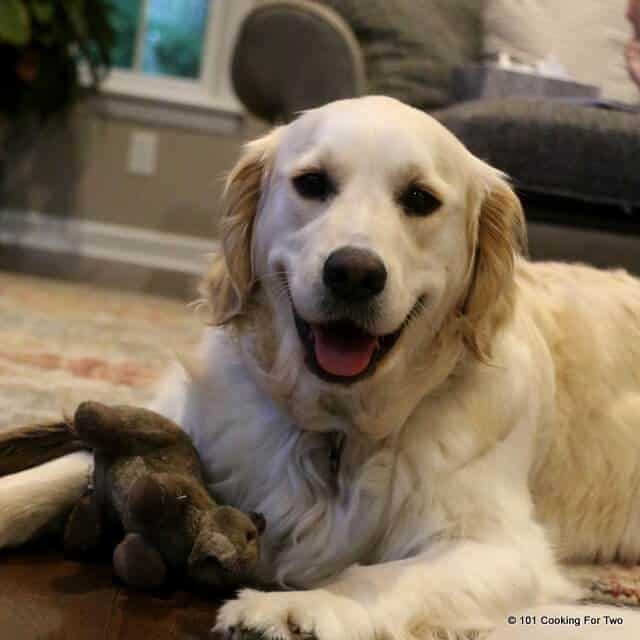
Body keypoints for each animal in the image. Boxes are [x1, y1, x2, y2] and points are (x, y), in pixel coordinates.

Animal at [1, 96, 640, 640]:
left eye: (419, 199)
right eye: (312, 184)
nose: (354, 273)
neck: (334, 429)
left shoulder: (501, 545)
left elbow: (379, 575)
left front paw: (299, 608)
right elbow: (67, 466)